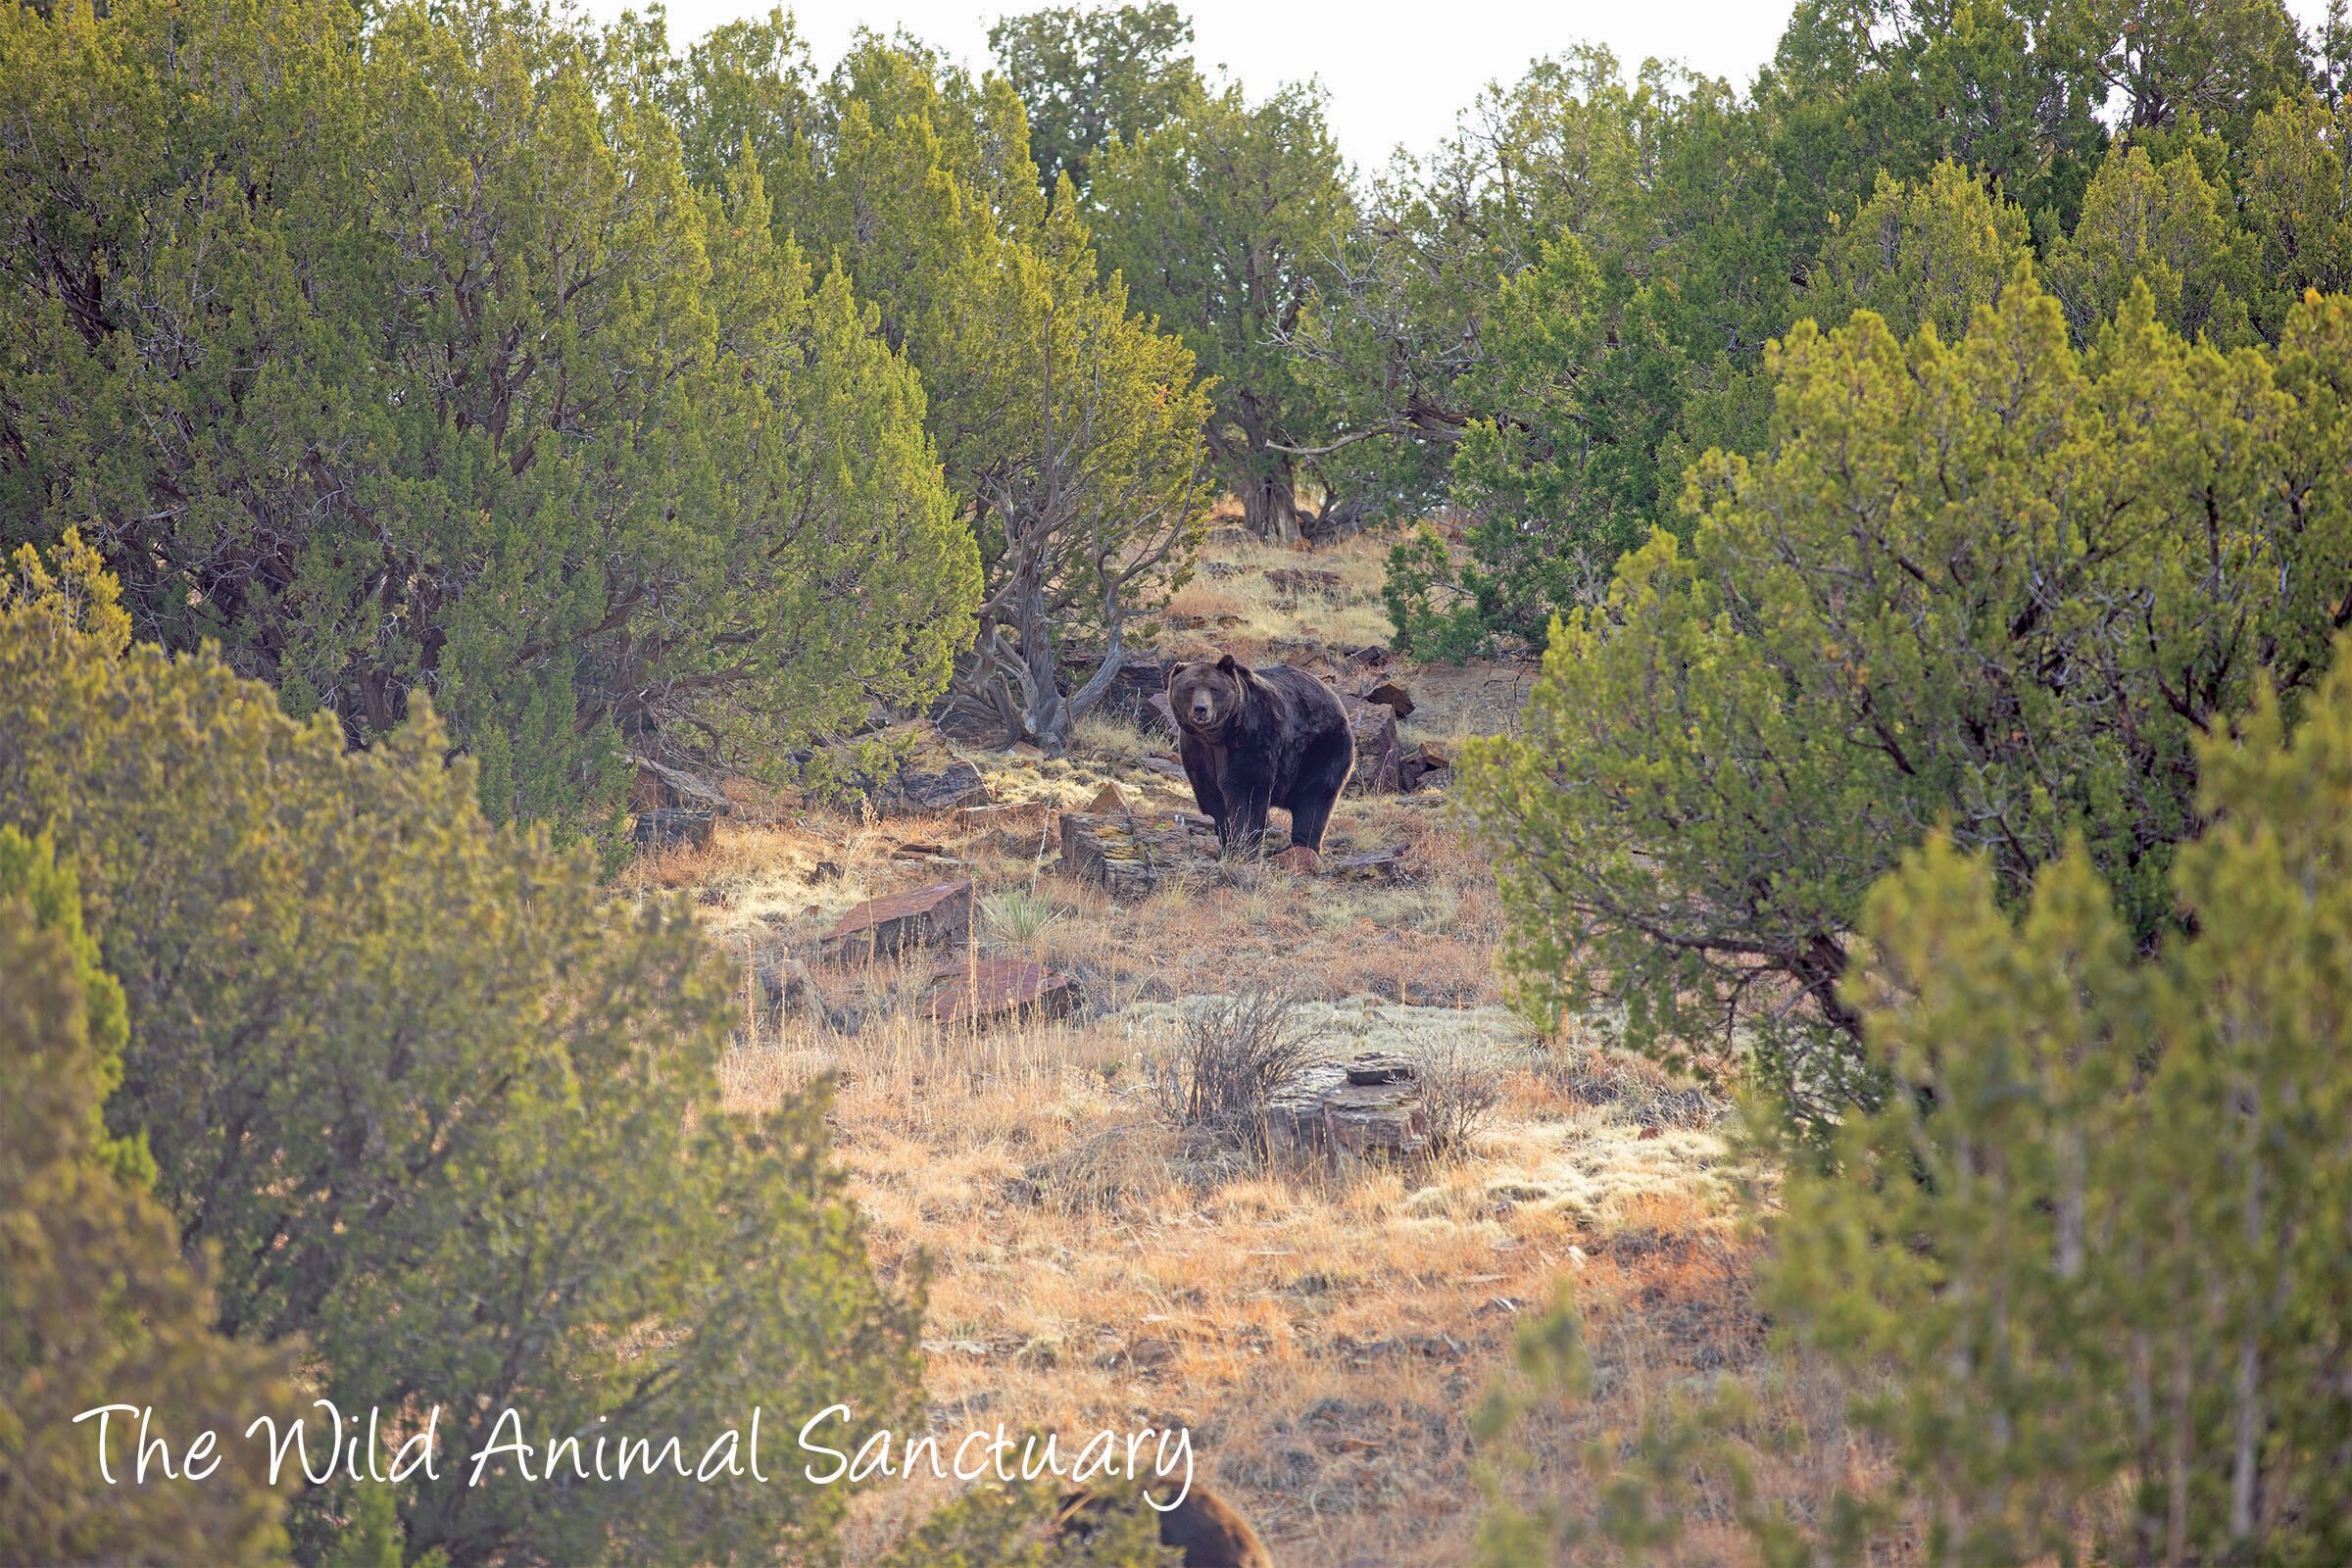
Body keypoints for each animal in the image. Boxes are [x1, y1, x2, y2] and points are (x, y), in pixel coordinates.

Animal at [1166, 658, 1354, 864]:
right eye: (1190, 687)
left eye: (1214, 688)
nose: (1201, 709)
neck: (1217, 737)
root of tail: (1333, 695)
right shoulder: (1197, 749)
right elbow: (1210, 794)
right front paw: (1224, 839)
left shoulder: (1252, 737)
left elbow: (1247, 790)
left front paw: (1244, 847)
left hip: (1321, 747)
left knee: (1315, 796)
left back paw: (1300, 847)